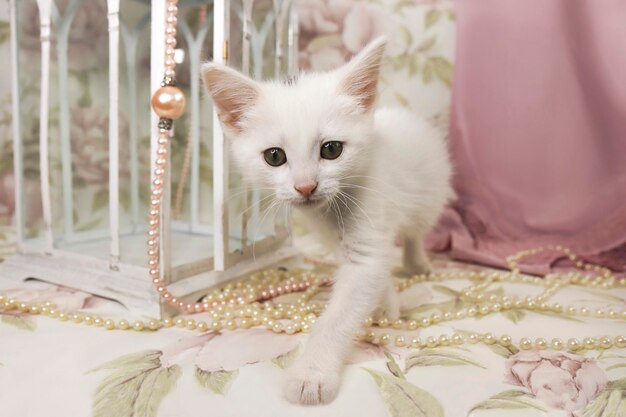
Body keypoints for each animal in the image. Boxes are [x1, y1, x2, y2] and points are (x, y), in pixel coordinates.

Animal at [202, 38, 450, 404]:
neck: (332, 211)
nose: (306, 186)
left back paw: (417, 262)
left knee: (415, 232)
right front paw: (385, 302)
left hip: (428, 196)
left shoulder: (368, 230)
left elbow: (339, 314)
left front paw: (312, 374)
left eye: (331, 150)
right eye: (274, 156)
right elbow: (374, 273)